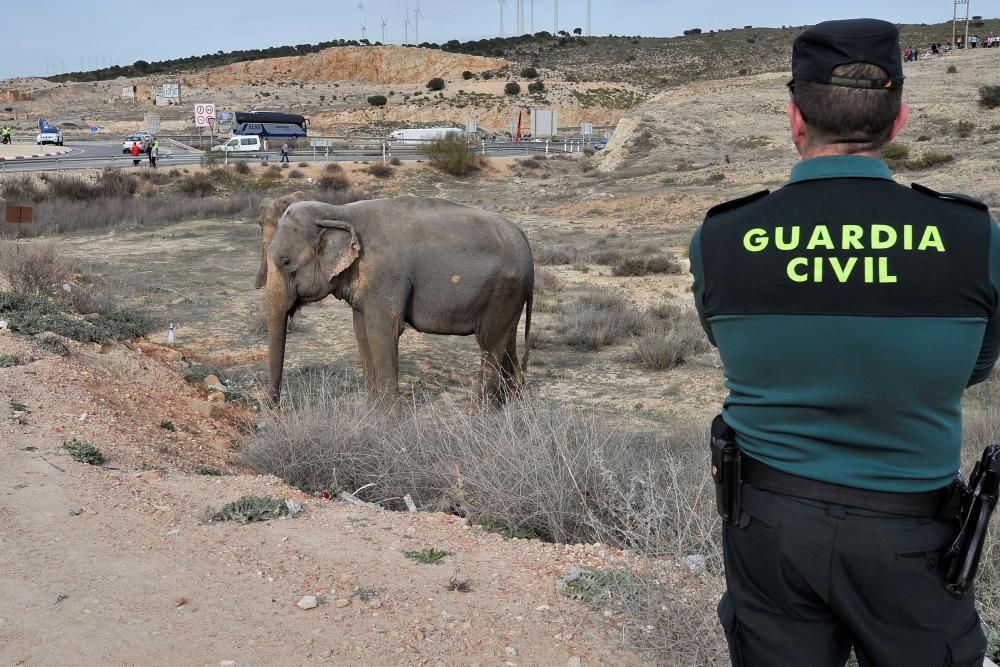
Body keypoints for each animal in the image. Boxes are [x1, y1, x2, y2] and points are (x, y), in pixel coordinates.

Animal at [262, 196, 536, 404]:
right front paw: (372, 412)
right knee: (506, 339)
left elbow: (383, 332)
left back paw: (481, 413)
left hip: (504, 289)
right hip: (510, 296)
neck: (338, 211)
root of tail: (524, 240)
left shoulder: (386, 277)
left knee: (490, 343)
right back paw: (511, 405)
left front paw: (390, 419)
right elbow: (362, 333)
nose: (276, 409)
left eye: (286, 261)